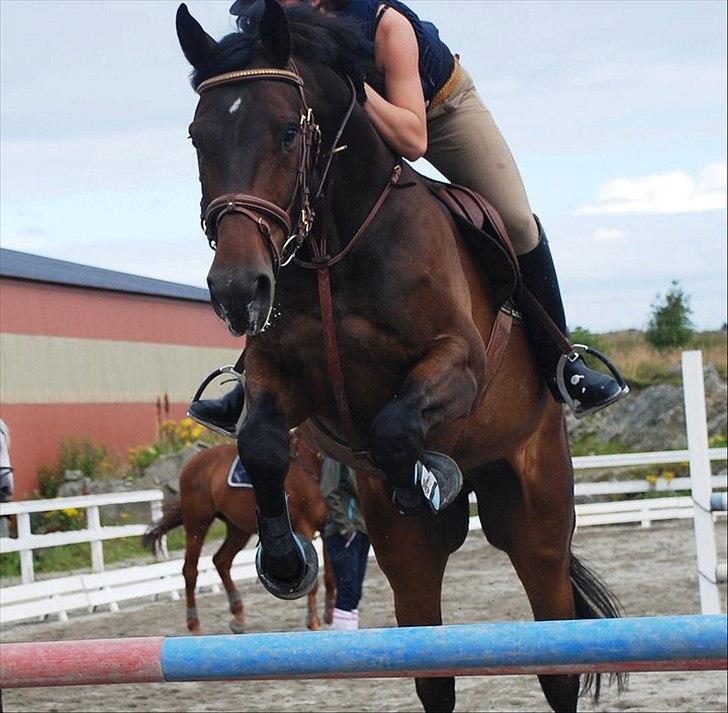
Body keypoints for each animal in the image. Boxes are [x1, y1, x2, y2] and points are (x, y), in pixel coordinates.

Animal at [143, 434, 336, 636]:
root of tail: (194, 462)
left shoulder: (326, 528)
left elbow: (330, 574)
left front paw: (330, 613)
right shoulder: (304, 526)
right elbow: (313, 580)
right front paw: (313, 621)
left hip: (238, 529)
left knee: (221, 561)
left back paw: (238, 617)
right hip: (197, 524)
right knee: (190, 570)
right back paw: (194, 624)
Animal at [173, 2, 624, 708]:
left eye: (286, 132)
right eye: (198, 138)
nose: (237, 291)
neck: (333, 247)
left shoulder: (459, 363)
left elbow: (392, 426)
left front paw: (424, 476)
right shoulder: (282, 376)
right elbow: (263, 443)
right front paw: (285, 559)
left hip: (539, 524)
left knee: (557, 662)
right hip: (408, 562)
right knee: (432, 663)